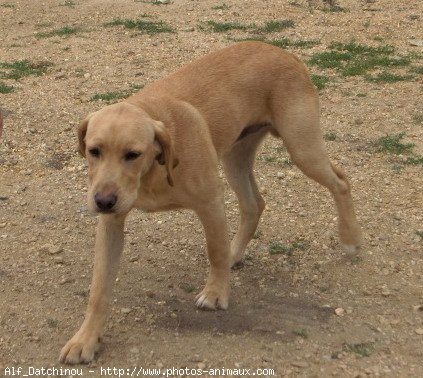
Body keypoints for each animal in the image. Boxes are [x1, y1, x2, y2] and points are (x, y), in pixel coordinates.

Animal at [59, 41, 362, 364]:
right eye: (94, 151)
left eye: (133, 154)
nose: (103, 201)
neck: (154, 166)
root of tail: (282, 51)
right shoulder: (111, 224)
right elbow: (99, 289)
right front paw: (86, 339)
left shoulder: (210, 201)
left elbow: (214, 250)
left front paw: (216, 293)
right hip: (235, 158)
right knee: (254, 204)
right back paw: (236, 253)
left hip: (302, 149)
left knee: (341, 181)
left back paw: (351, 238)